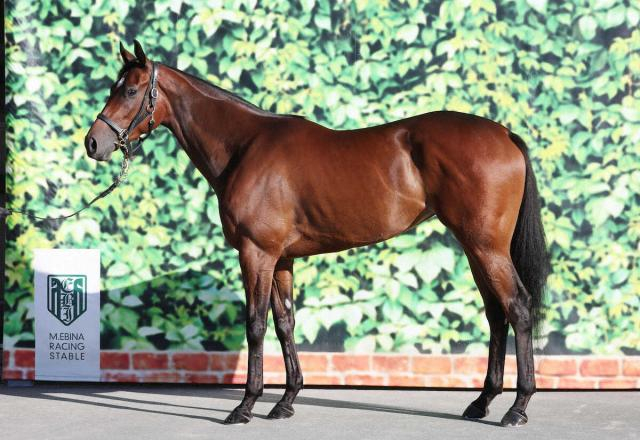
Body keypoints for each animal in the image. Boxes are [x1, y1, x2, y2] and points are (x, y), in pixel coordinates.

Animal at [85, 41, 550, 427]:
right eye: (113, 87)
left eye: (130, 91)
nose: (93, 143)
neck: (244, 147)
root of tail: (504, 133)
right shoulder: (281, 259)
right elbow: (285, 323)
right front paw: (285, 402)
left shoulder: (256, 254)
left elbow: (255, 325)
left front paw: (245, 406)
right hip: (476, 248)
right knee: (495, 315)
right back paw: (482, 402)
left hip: (487, 248)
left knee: (518, 307)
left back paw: (517, 407)